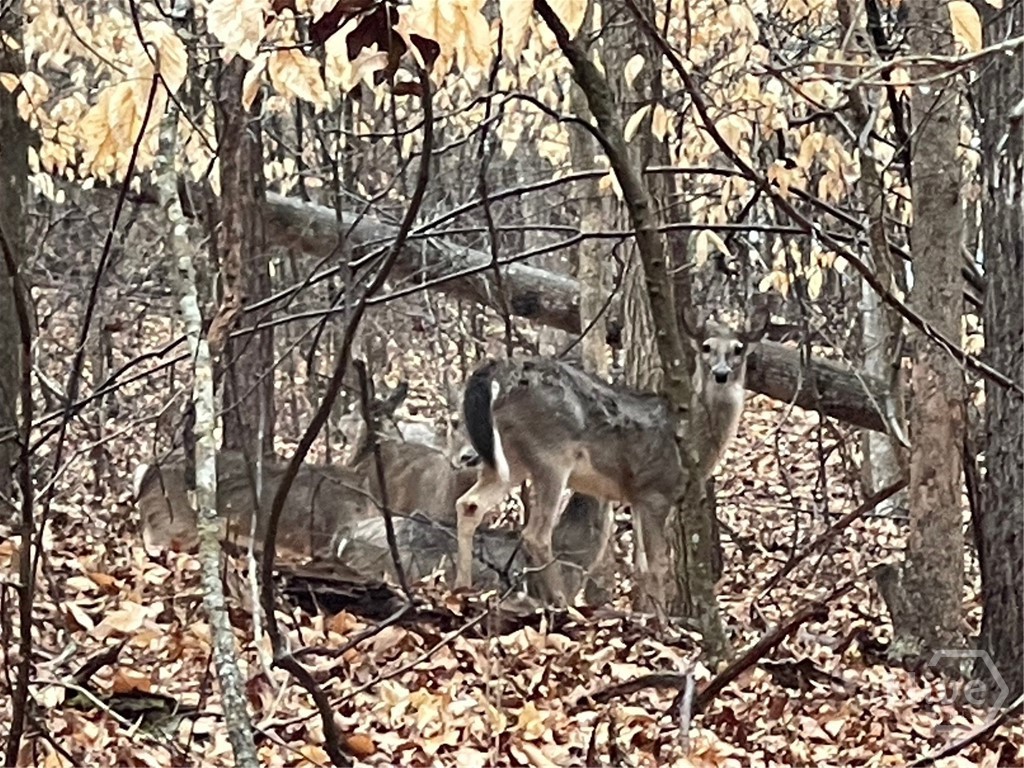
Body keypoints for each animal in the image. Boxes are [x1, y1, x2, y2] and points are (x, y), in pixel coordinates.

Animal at [454, 311, 770, 611]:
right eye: (706, 347)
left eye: (739, 348)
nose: (721, 373)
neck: (692, 439)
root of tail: (500, 370)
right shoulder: (656, 491)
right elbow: (657, 565)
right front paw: (666, 624)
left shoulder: (638, 497)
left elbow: (641, 568)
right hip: (550, 452)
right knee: (536, 534)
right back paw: (561, 603)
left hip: (510, 458)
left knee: (469, 504)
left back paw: (461, 590)